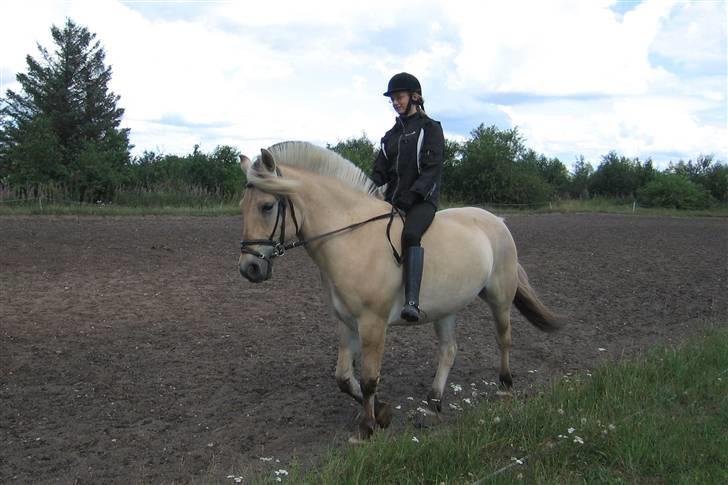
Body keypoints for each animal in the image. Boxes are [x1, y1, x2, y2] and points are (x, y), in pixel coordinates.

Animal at [236, 141, 560, 442]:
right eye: (242, 206)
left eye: (267, 206)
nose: (249, 268)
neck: (351, 237)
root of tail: (497, 221)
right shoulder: (346, 322)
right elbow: (344, 378)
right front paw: (381, 412)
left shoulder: (373, 323)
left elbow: (369, 378)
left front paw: (366, 428)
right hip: (447, 308)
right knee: (449, 350)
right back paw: (433, 404)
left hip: (499, 297)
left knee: (503, 339)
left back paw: (504, 388)